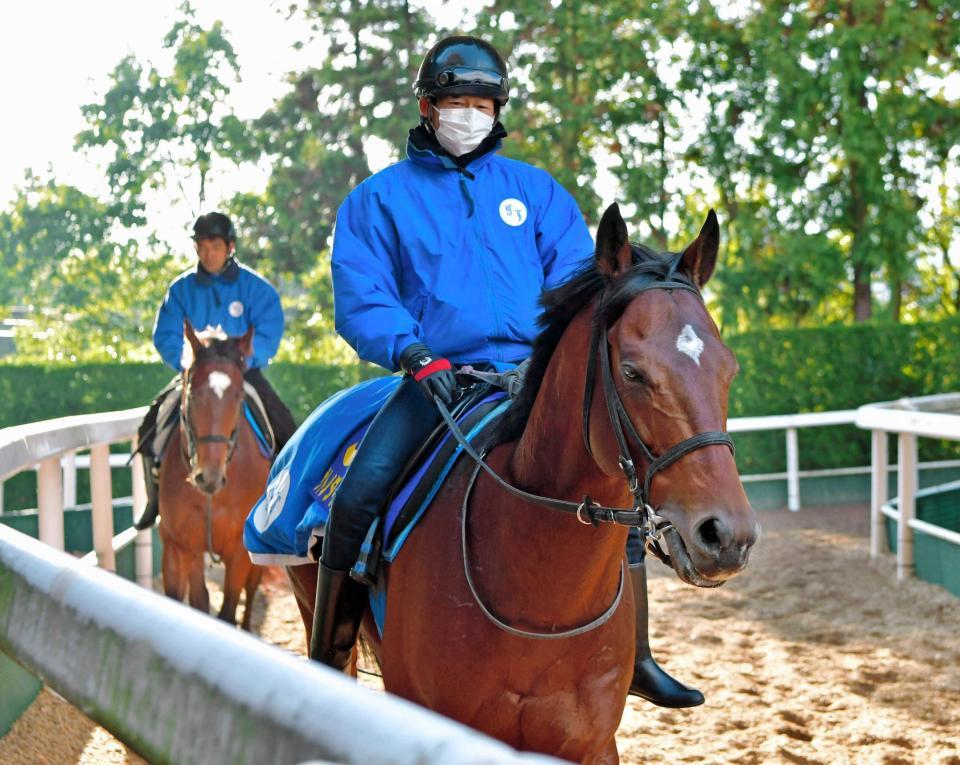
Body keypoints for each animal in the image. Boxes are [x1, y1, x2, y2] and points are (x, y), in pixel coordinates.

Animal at [158, 322, 270, 628]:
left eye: (239, 396)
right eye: (193, 395)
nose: (209, 477)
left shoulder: (240, 553)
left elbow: (228, 610)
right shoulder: (179, 546)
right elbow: (192, 600)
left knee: (251, 589)